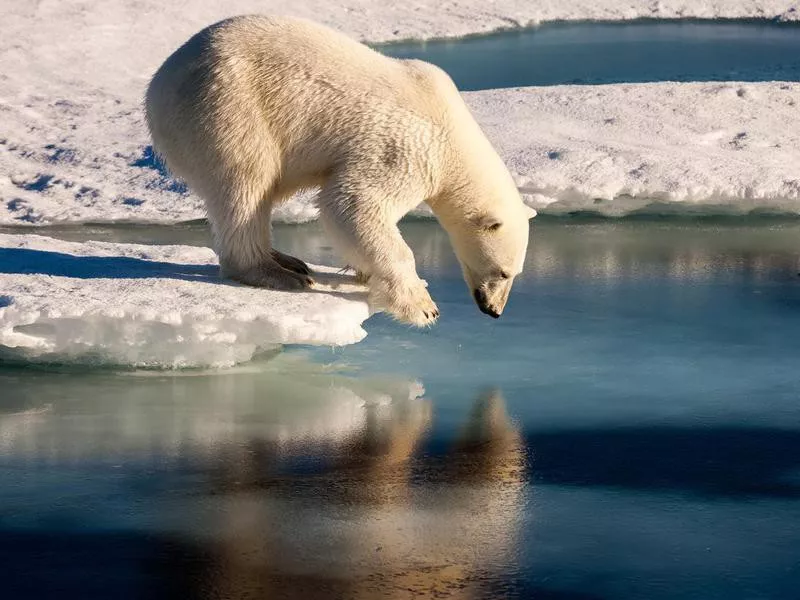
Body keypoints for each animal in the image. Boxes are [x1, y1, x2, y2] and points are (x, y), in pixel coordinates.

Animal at [145, 16, 532, 326]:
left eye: (515, 273)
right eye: (502, 272)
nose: (494, 310)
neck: (452, 130)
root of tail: (158, 85)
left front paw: (363, 270)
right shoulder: (405, 146)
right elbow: (352, 202)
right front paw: (423, 306)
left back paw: (287, 260)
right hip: (228, 108)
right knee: (246, 183)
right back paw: (277, 273)